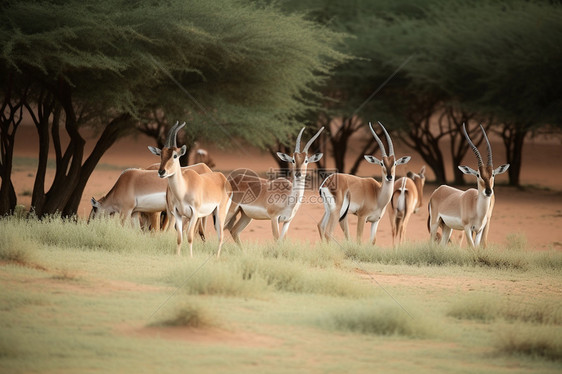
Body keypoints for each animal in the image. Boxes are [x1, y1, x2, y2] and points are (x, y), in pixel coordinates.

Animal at [148, 122, 231, 258]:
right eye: (161, 155)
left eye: (175, 155)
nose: (161, 172)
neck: (183, 190)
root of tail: (222, 177)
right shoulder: (178, 214)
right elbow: (179, 237)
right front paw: (178, 256)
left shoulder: (194, 214)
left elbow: (190, 236)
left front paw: (191, 257)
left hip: (220, 212)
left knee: (220, 236)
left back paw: (216, 257)